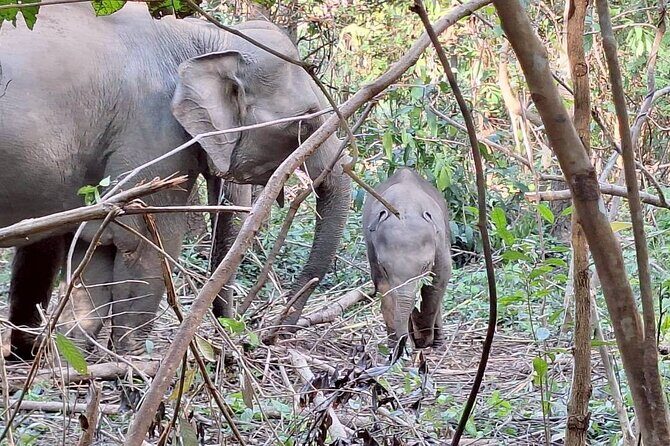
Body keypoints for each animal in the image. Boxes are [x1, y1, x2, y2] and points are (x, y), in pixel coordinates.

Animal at [0, 4, 351, 358]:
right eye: (306, 123)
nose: (267, 336)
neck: (204, 39)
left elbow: (96, 249)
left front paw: (76, 359)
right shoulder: (152, 131)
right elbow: (146, 244)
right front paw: (136, 361)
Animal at [363, 168, 451, 349]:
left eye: (425, 266)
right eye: (384, 267)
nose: (411, 343)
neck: (405, 205)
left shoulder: (441, 244)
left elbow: (439, 280)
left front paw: (424, 340)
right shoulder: (372, 251)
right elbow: (385, 291)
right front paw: (399, 345)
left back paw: (438, 343)